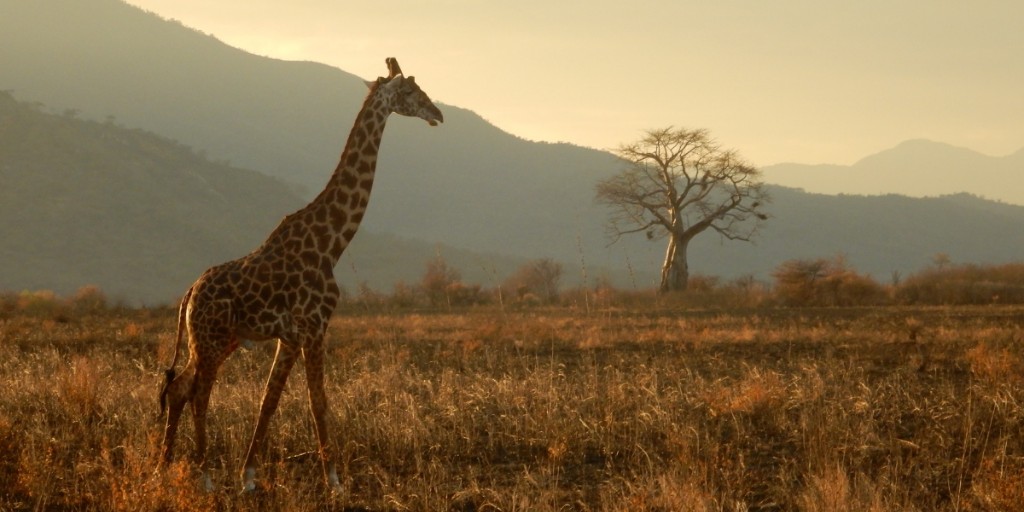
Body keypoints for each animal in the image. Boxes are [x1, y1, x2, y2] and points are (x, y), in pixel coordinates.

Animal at [158, 57, 443, 492]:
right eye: (411, 91)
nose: (438, 114)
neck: (332, 244)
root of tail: (189, 293)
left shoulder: (290, 336)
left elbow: (269, 401)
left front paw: (249, 477)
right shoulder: (313, 326)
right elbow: (318, 401)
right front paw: (335, 480)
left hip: (212, 341)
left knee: (179, 388)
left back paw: (162, 468)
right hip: (210, 340)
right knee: (199, 393)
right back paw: (203, 475)